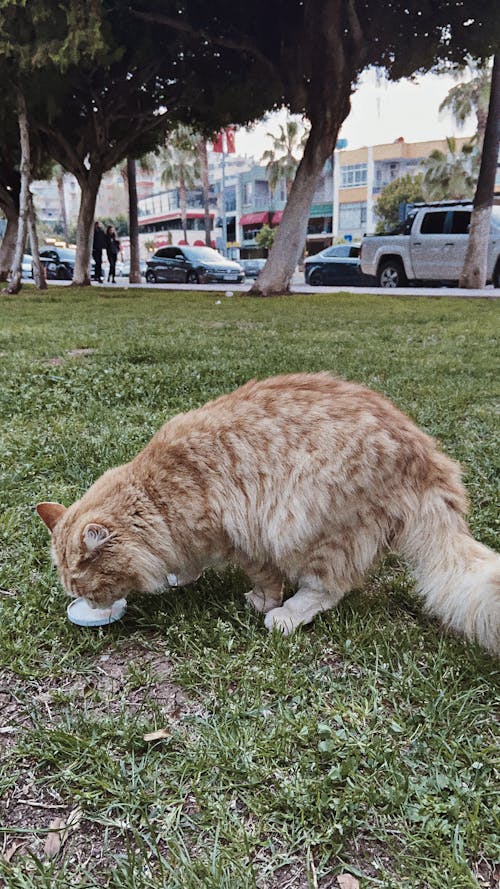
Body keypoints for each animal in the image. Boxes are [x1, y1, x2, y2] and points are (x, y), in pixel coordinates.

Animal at [38, 372, 500, 656]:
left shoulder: (240, 536)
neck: (156, 494)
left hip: (304, 528)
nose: (87, 604)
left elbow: (263, 576)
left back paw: (285, 617)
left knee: (328, 588)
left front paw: (262, 601)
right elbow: (186, 562)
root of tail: (428, 458)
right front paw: (178, 576)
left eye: (86, 585)